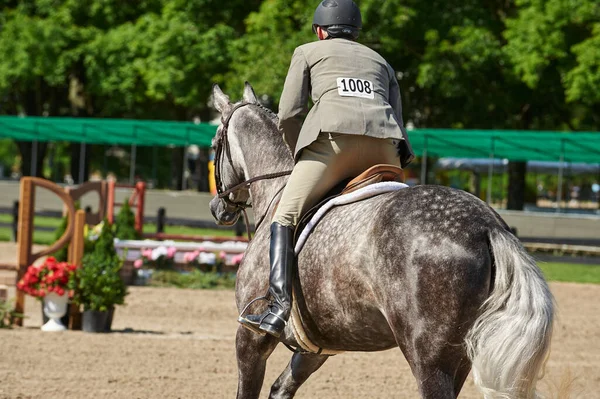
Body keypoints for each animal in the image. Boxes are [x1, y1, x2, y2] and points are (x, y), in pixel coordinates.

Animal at [209, 83, 556, 398]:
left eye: (214, 143)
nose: (217, 208)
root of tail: (488, 225)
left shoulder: (250, 338)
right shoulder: (315, 348)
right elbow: (281, 389)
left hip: (430, 358)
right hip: (460, 357)